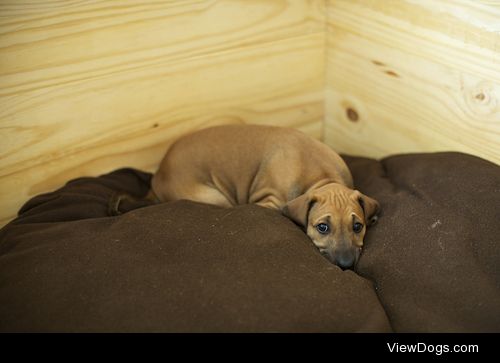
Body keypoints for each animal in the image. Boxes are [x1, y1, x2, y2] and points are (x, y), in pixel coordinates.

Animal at [152, 123, 378, 268]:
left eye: (357, 226)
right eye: (322, 227)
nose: (346, 264)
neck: (323, 177)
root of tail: (158, 174)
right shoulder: (270, 201)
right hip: (214, 197)